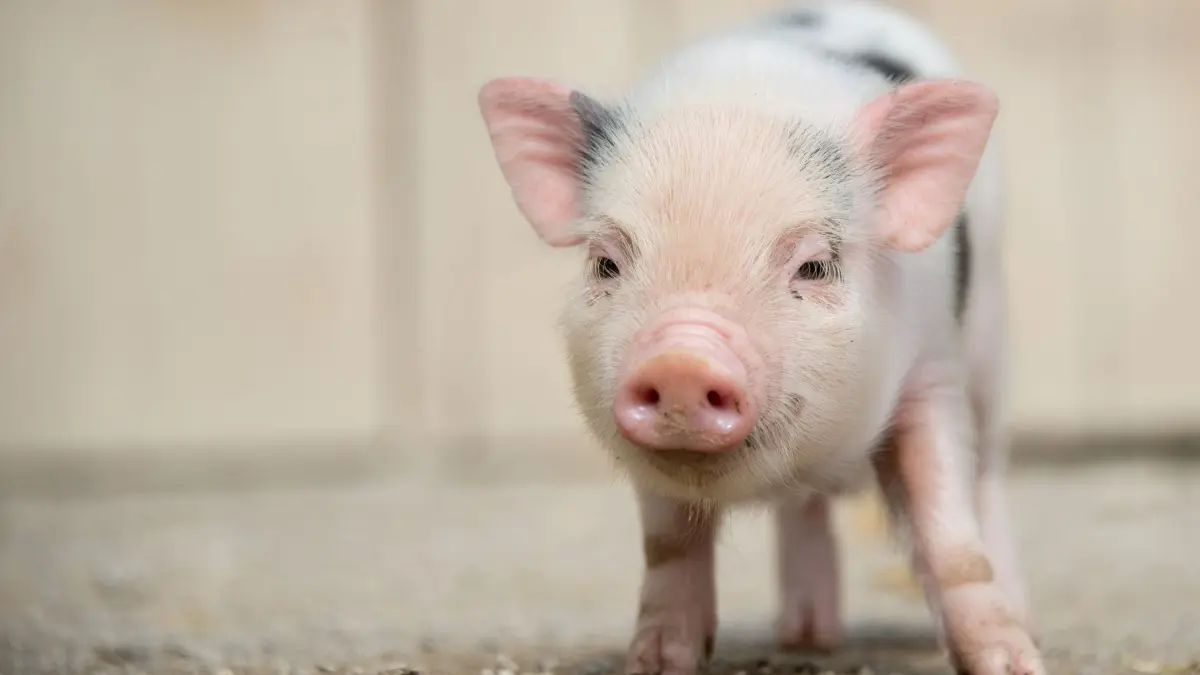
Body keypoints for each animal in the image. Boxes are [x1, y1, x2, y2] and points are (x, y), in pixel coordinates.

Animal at [476, 1, 1039, 674]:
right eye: (606, 263)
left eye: (814, 266)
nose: (681, 362)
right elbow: (670, 547)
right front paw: (657, 662)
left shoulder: (931, 371)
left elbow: (951, 536)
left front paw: (1013, 663)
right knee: (804, 509)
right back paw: (804, 637)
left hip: (993, 345)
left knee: (990, 471)